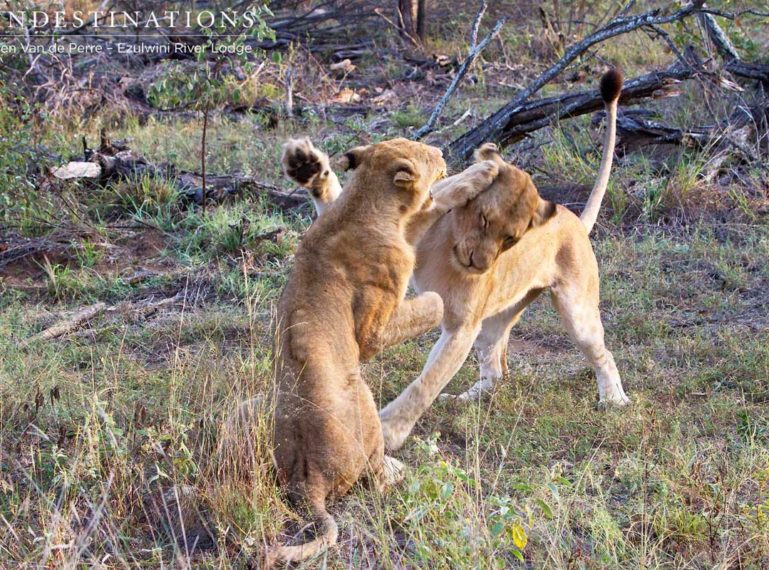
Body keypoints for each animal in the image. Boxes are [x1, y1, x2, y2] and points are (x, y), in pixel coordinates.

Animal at [270, 139, 498, 564]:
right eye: (426, 153)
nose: (441, 150)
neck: (362, 205)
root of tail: (307, 482)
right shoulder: (371, 332)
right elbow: (434, 301)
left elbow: (436, 201)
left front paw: (482, 173)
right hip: (362, 395)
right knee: (374, 475)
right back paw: (395, 469)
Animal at [284, 69, 628, 450]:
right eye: (484, 219)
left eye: (512, 239)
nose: (479, 264)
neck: (448, 249)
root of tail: (575, 220)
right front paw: (309, 168)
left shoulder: (461, 325)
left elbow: (427, 382)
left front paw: (390, 431)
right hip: (493, 324)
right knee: (496, 370)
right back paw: (465, 400)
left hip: (576, 311)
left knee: (602, 353)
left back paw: (614, 399)